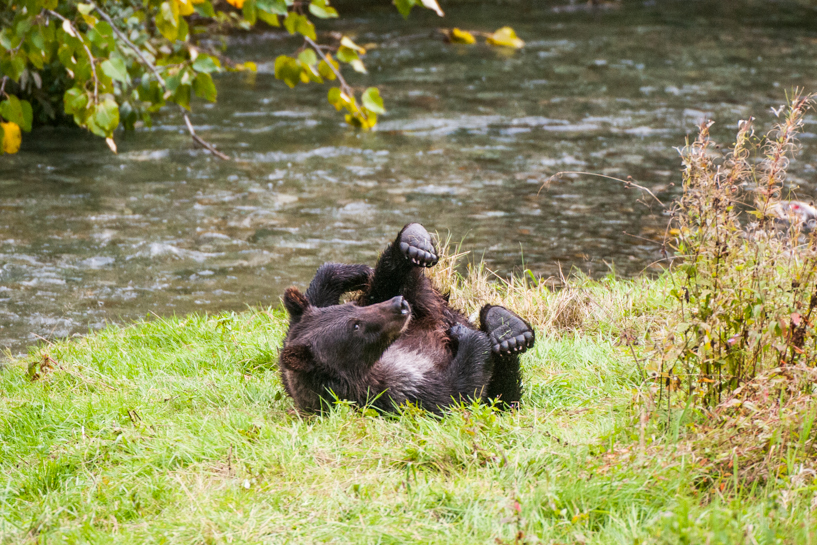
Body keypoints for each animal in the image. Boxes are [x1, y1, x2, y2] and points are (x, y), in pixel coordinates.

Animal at [278, 223, 536, 414]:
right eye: (356, 326)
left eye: (353, 310)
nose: (400, 305)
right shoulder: (396, 391)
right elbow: (458, 393)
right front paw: (469, 337)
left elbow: (320, 290)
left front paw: (356, 271)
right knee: (504, 393)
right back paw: (509, 336)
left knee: (391, 281)